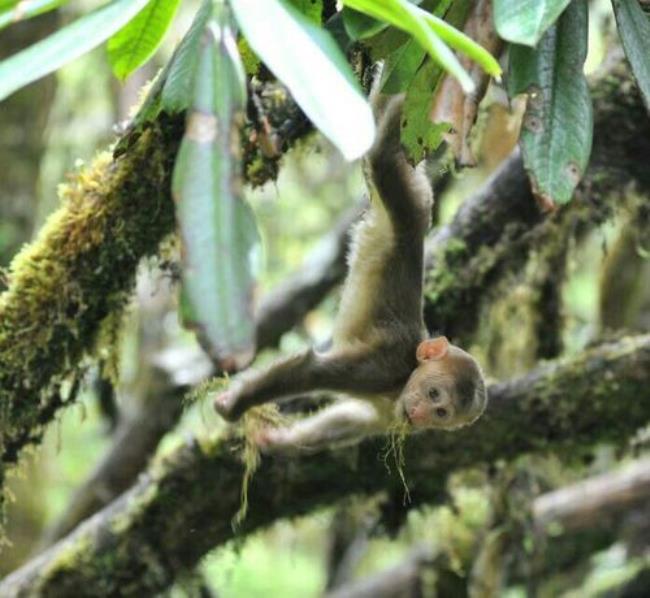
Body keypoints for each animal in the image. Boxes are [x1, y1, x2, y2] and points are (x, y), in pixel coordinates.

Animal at [213, 92, 486, 454]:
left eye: (441, 412)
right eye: (433, 393)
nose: (421, 414)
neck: (403, 379)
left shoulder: (389, 414)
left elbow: (350, 420)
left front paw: (278, 439)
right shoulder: (379, 369)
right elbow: (310, 370)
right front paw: (233, 407)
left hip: (418, 194)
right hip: (405, 203)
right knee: (385, 157)